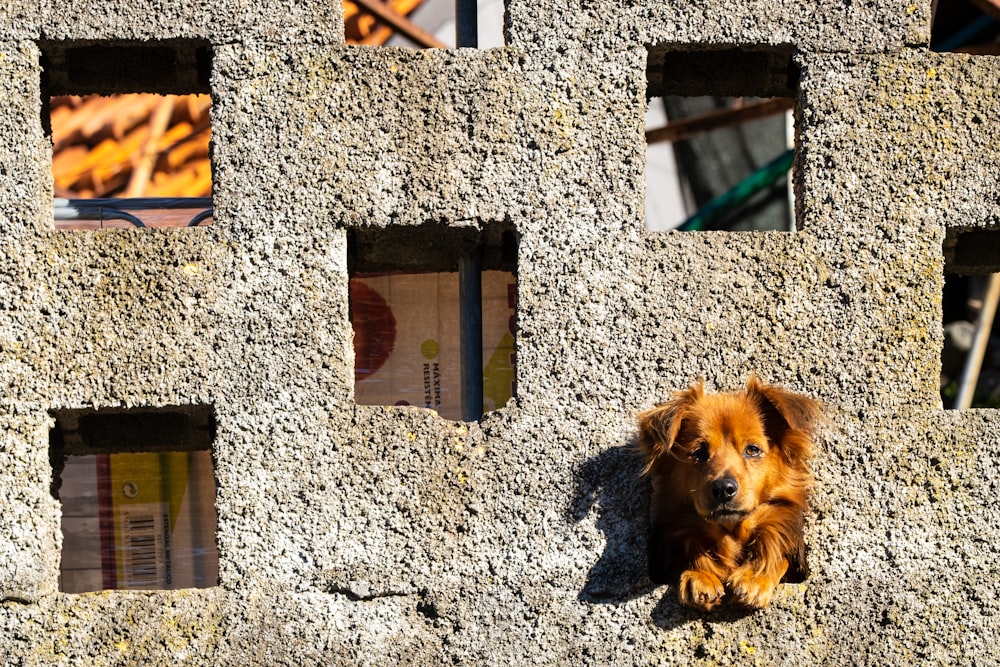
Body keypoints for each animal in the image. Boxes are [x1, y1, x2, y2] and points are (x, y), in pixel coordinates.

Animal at [640, 378, 820, 612]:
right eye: (698, 453)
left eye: (752, 450)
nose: (723, 489)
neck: (731, 534)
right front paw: (700, 575)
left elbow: (779, 557)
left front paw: (756, 575)